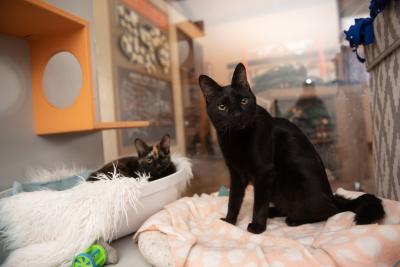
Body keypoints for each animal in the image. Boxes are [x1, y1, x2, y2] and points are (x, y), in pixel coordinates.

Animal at [198, 62, 386, 234]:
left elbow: (259, 202)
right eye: (222, 107)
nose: (238, 114)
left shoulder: (264, 172)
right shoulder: (236, 174)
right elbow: (233, 199)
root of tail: (332, 196)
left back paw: (294, 219)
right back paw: (273, 212)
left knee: (330, 212)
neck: (236, 138)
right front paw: (229, 221)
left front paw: (257, 226)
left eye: (244, 101)